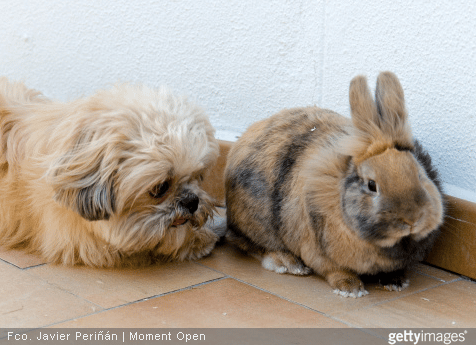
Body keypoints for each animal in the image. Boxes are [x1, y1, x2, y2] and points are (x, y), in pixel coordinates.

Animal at [225, 72, 444, 296]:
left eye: (419, 174)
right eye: (372, 185)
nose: (412, 220)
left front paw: (395, 282)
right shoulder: (315, 249)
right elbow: (333, 269)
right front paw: (351, 289)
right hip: (256, 225)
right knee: (249, 244)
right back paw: (288, 263)